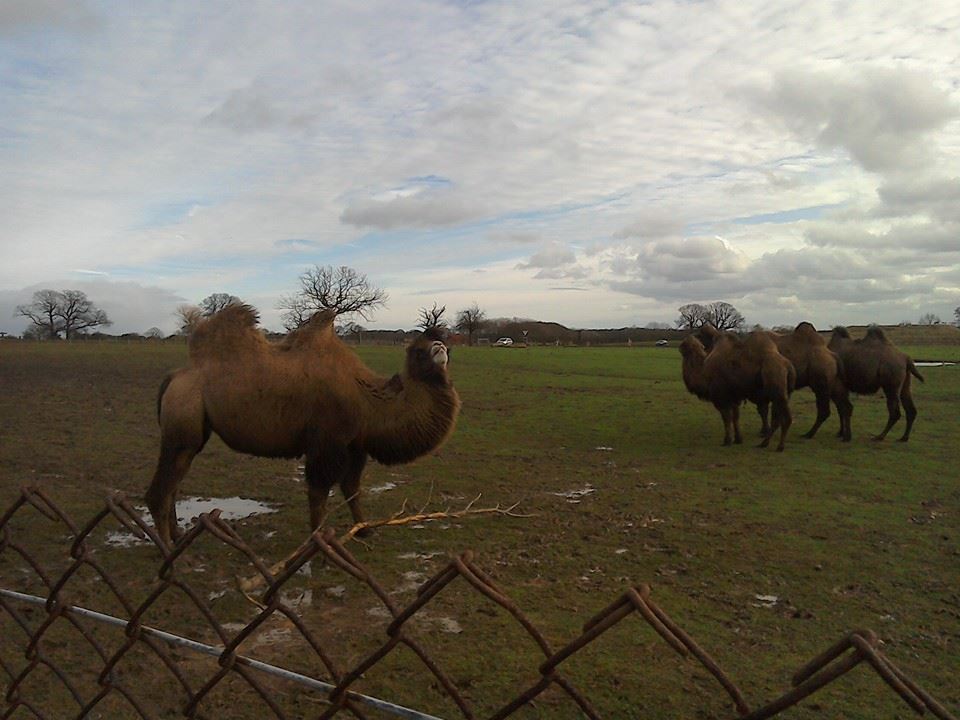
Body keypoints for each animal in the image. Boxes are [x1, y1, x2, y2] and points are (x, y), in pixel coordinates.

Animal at [145, 305, 461, 546]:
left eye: (442, 341)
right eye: (417, 351)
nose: (440, 347)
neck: (368, 400)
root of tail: (175, 377)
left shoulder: (355, 446)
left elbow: (352, 489)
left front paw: (365, 530)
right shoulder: (326, 443)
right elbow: (318, 493)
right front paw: (318, 545)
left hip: (193, 432)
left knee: (174, 483)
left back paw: (178, 536)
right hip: (182, 426)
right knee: (161, 490)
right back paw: (166, 548)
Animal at [697, 323, 852, 441]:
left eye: (700, 334)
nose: (699, 343)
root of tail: (831, 355)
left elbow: (763, 410)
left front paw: (764, 432)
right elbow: (764, 410)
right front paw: (764, 431)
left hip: (821, 383)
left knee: (825, 409)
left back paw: (809, 434)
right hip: (833, 382)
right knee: (843, 405)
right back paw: (843, 435)